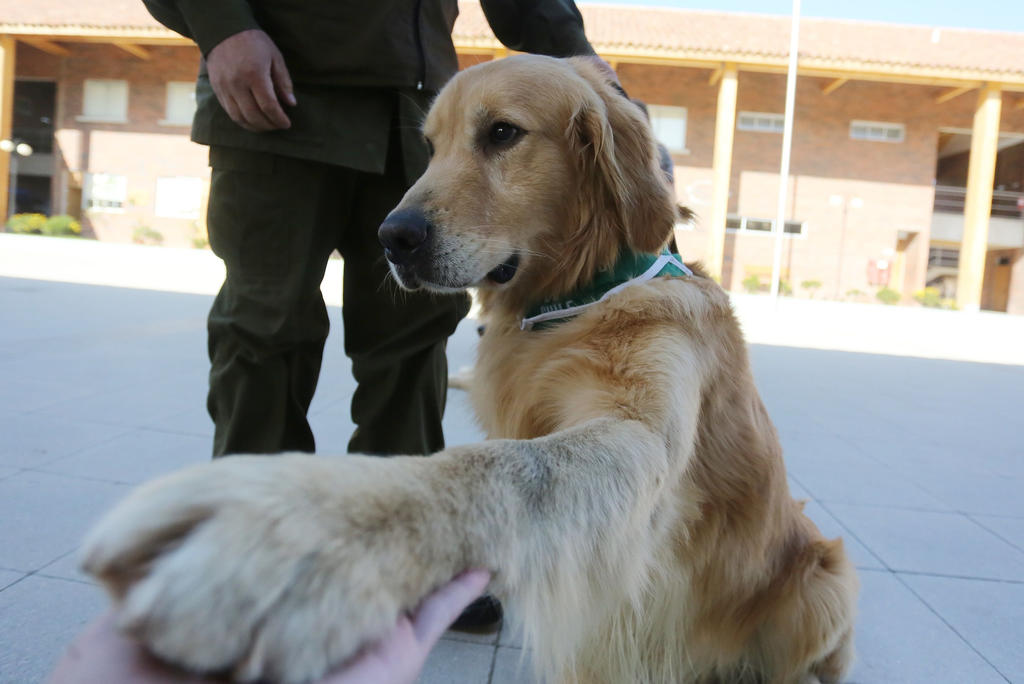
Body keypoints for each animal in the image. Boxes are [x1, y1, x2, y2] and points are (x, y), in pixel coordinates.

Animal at [81, 56, 856, 679]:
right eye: (429, 145)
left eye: (503, 134)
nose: (391, 238)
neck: (574, 301)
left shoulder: (640, 436)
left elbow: (509, 468)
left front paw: (316, 529)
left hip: (827, 583)